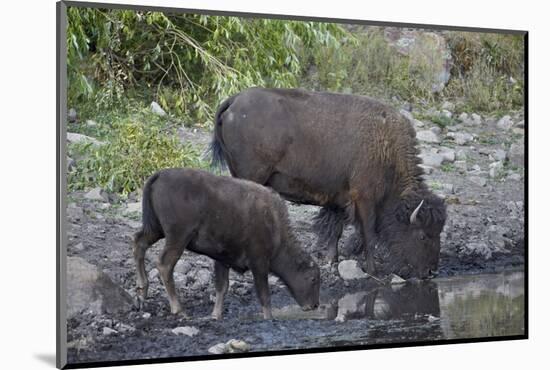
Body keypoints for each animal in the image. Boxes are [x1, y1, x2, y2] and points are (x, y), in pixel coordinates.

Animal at [134, 168, 322, 318]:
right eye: (313, 279)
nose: (314, 305)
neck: (275, 225)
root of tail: (160, 174)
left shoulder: (222, 259)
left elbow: (222, 287)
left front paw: (216, 315)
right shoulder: (259, 263)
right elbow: (264, 294)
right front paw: (268, 317)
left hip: (156, 229)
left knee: (139, 242)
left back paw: (143, 291)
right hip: (178, 237)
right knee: (164, 264)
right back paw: (178, 309)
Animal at [209, 87, 446, 278]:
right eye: (423, 236)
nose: (431, 272)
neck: (387, 148)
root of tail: (234, 100)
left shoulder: (339, 197)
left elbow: (335, 229)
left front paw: (331, 261)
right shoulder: (365, 198)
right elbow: (368, 234)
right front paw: (373, 270)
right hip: (252, 177)